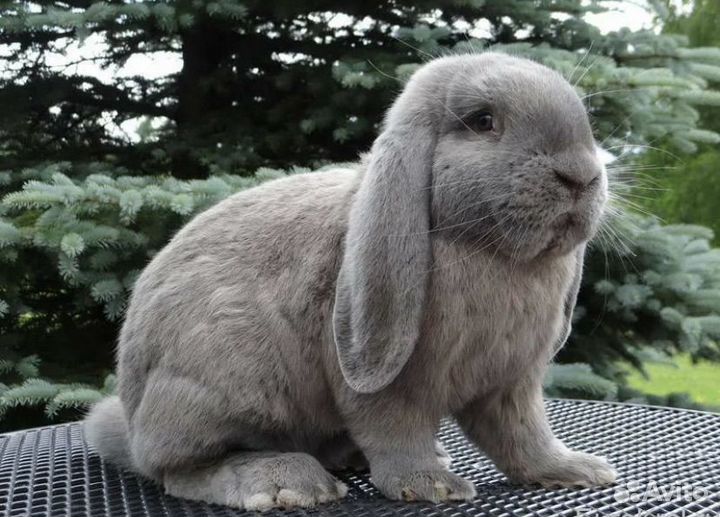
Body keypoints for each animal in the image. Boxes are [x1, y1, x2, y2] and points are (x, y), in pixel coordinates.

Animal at [85, 52, 616, 511]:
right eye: (483, 121)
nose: (581, 175)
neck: (495, 255)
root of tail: (133, 418)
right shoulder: (386, 380)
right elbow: (393, 428)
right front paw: (432, 486)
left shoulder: (512, 384)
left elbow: (524, 437)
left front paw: (578, 471)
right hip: (214, 382)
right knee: (179, 469)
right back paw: (284, 482)